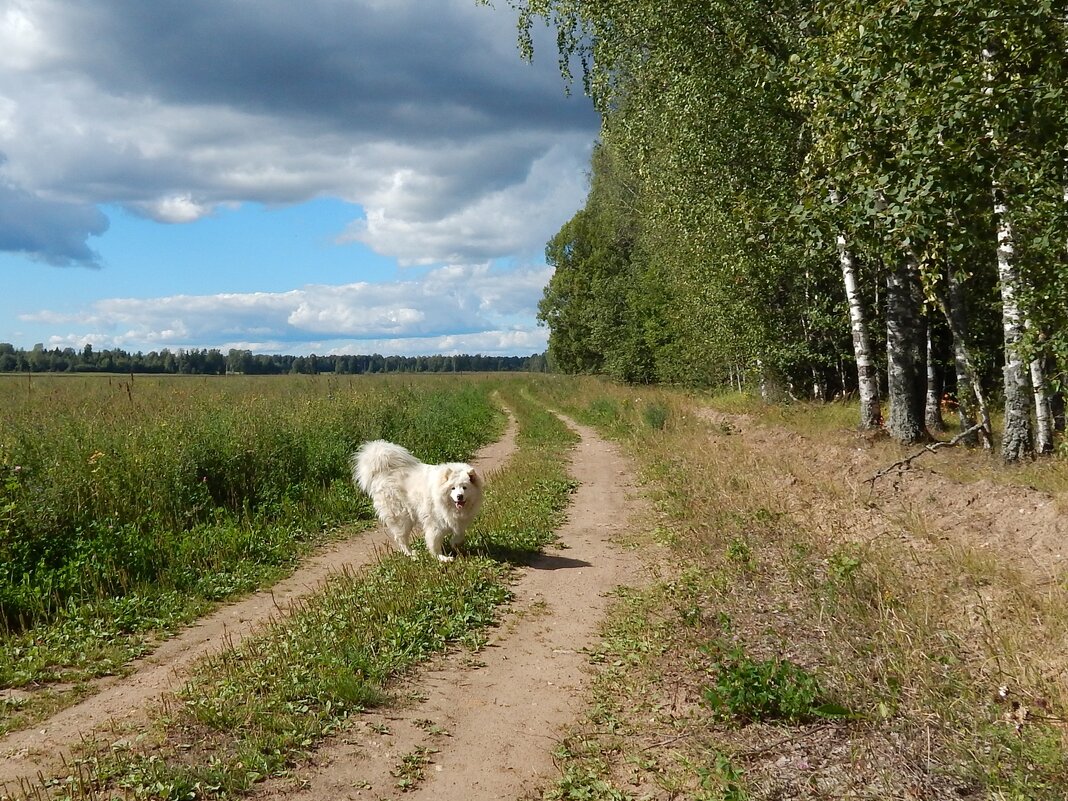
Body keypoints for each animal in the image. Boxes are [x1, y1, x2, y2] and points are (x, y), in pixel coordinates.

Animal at [350, 440, 484, 563]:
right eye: (453, 488)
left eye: (465, 487)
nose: (459, 496)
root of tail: (383, 472)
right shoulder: (434, 524)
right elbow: (434, 543)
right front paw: (441, 558)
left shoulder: (459, 521)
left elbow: (460, 535)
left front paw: (454, 543)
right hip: (402, 517)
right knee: (401, 539)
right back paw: (412, 554)